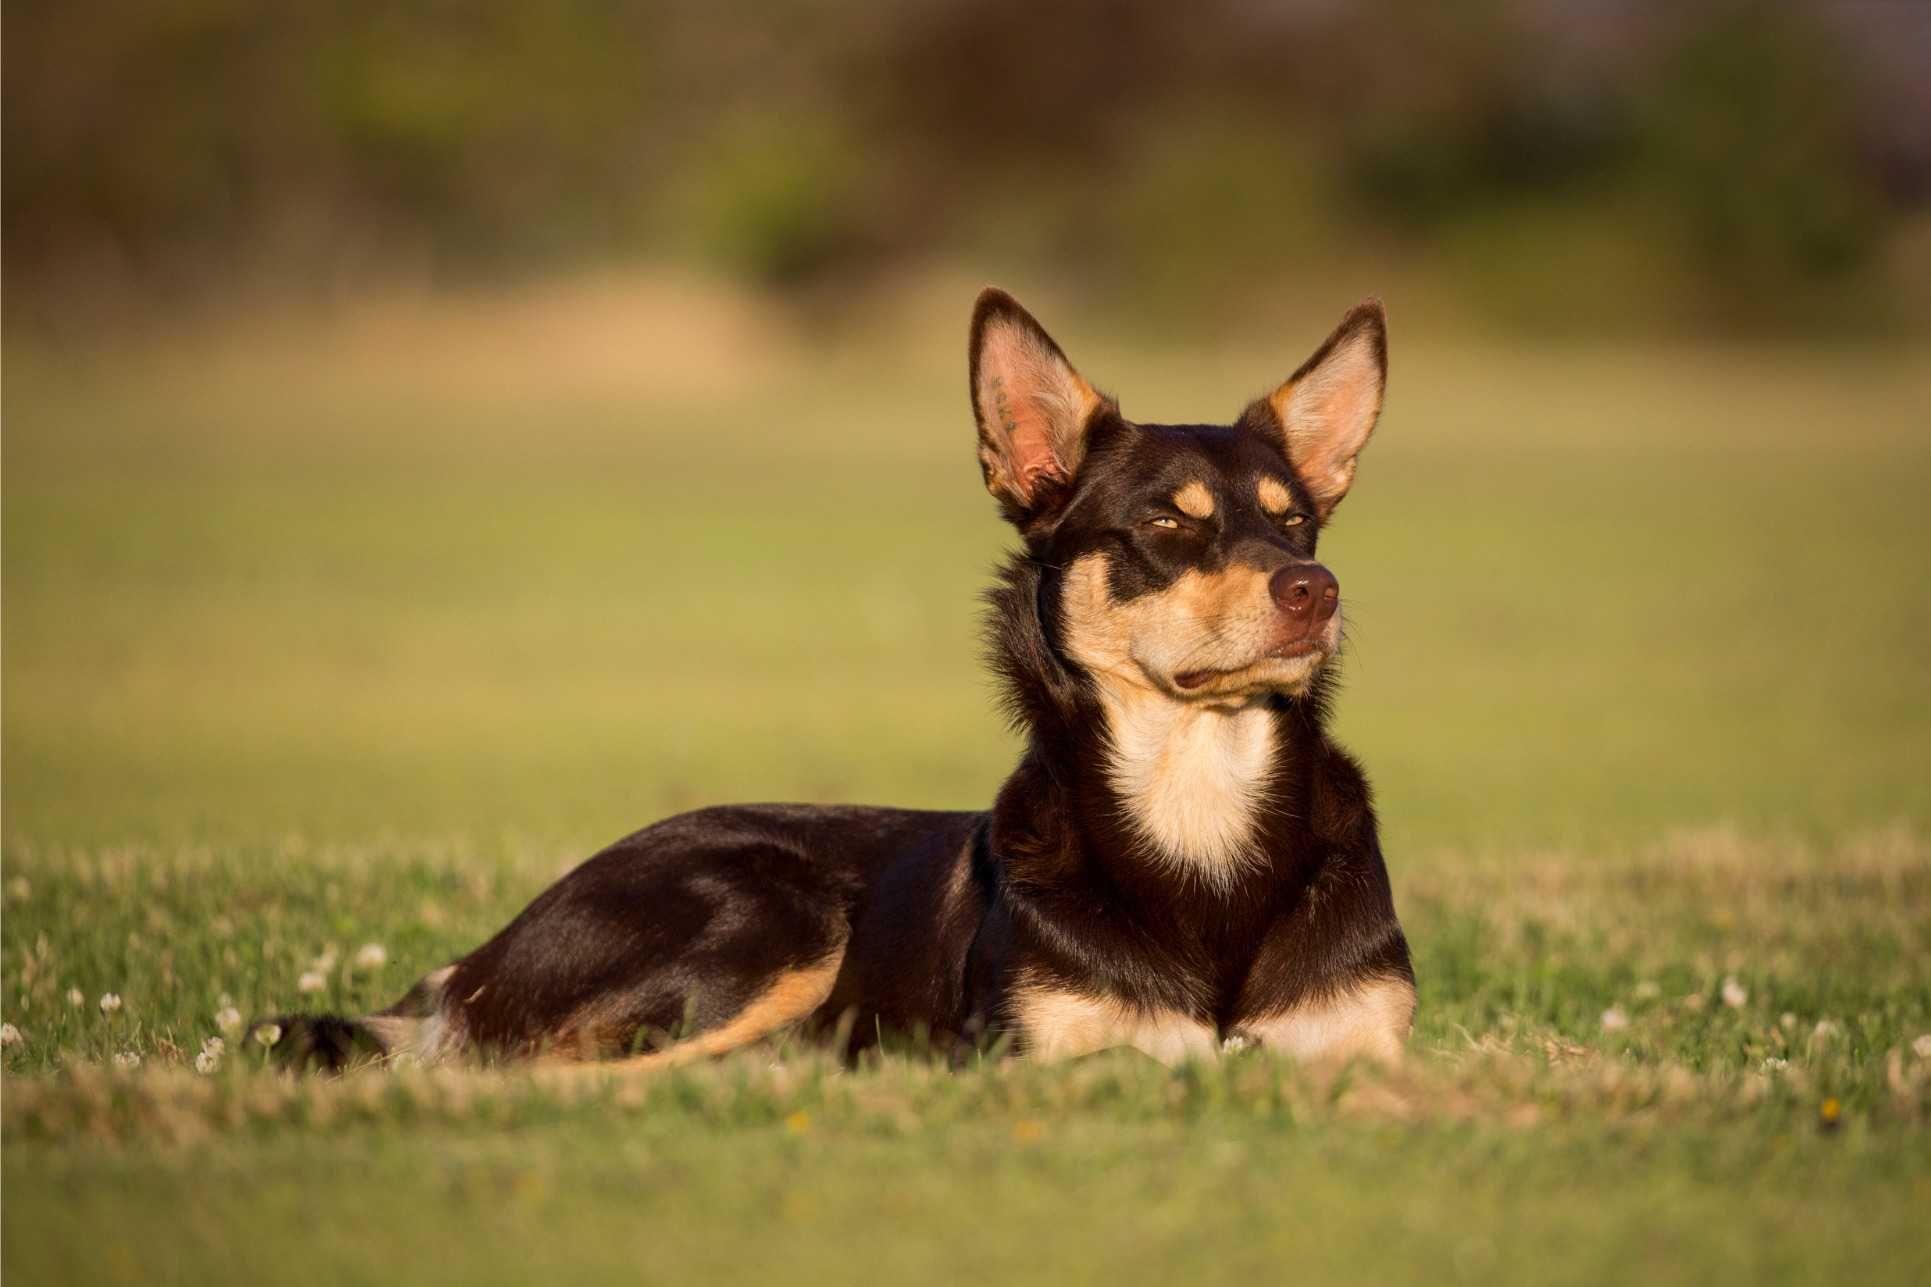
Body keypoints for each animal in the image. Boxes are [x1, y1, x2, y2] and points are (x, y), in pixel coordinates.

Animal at [249, 289, 1413, 1074]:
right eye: (1169, 523)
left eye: (1296, 521)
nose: (1314, 590)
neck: (1198, 805)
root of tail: (475, 962)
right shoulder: (1030, 1056)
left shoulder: (1363, 1046)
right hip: (769, 914)